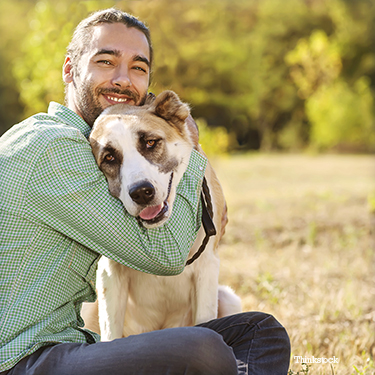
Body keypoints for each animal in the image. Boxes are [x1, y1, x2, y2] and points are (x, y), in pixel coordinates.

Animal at [81, 90, 242, 340]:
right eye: (109, 158)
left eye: (150, 142)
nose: (141, 192)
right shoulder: (110, 272)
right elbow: (110, 332)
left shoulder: (207, 266)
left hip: (228, 297)